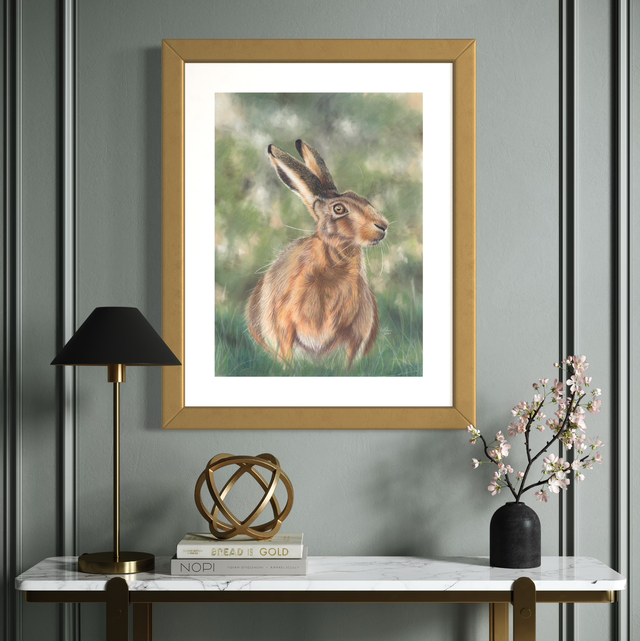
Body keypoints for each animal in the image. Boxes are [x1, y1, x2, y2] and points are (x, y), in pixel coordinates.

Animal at [246, 139, 389, 367]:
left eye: (364, 200)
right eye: (339, 209)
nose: (383, 226)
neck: (335, 264)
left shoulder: (357, 332)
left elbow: (348, 360)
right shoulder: (284, 323)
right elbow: (286, 350)